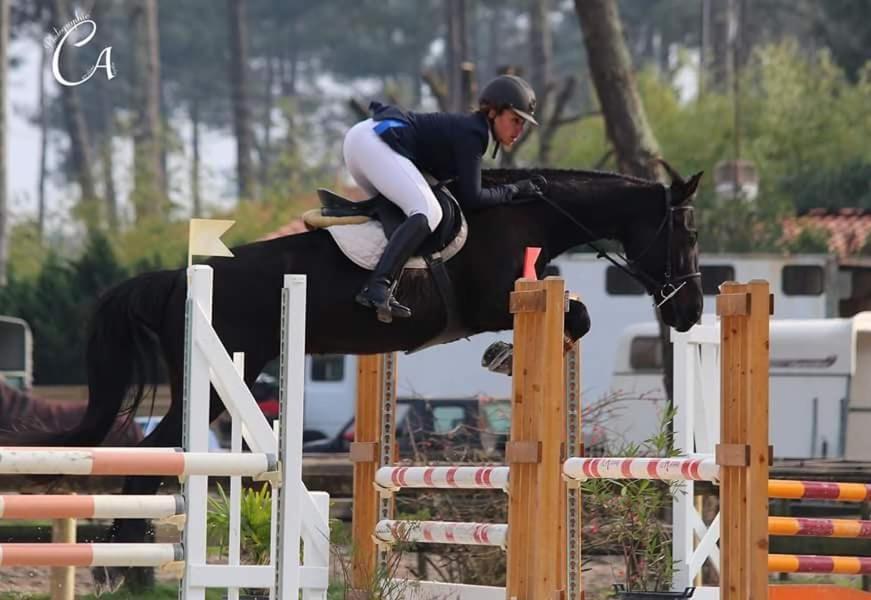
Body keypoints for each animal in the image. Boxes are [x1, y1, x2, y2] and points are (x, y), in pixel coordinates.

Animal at [6, 165, 704, 592]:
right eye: (687, 234)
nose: (691, 312)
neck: (526, 216)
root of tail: (180, 277)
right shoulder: (492, 298)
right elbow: (576, 314)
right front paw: (505, 356)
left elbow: (575, 316)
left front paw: (508, 356)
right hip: (224, 374)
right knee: (154, 454)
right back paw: (129, 571)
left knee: (159, 453)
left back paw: (130, 567)